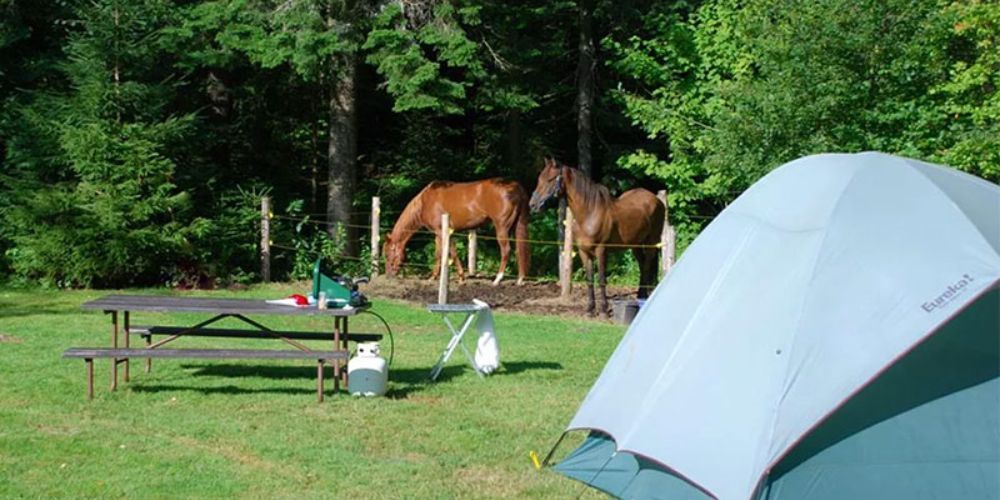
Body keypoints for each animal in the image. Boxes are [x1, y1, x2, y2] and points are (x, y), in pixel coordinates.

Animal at [382, 179, 532, 286]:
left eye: (388, 254)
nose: (388, 275)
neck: (424, 202)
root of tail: (516, 188)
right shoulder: (441, 234)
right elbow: (439, 255)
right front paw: (434, 277)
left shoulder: (443, 232)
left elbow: (451, 254)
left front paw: (460, 278)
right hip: (515, 227)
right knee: (519, 249)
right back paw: (520, 279)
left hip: (501, 228)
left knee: (506, 250)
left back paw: (497, 279)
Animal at [532, 158, 664, 316]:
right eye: (539, 179)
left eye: (550, 179)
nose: (533, 205)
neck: (589, 213)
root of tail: (656, 199)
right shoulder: (583, 252)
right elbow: (590, 279)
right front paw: (590, 309)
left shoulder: (601, 250)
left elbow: (601, 279)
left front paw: (604, 310)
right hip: (635, 245)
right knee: (643, 266)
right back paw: (640, 296)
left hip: (651, 242)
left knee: (647, 266)